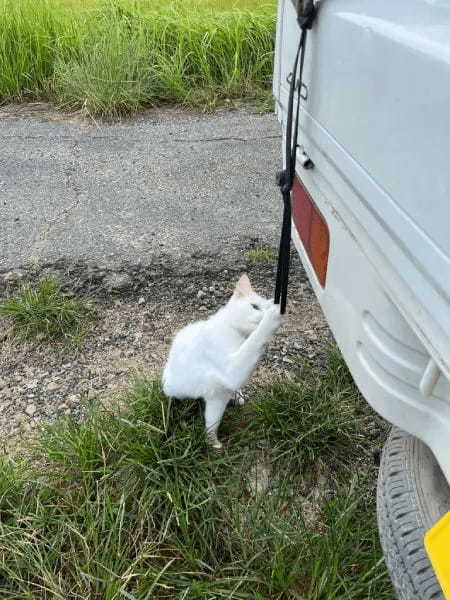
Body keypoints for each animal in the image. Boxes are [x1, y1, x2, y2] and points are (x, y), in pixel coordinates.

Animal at [162, 274, 282, 448]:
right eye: (255, 306)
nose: (265, 313)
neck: (235, 330)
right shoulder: (231, 369)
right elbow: (254, 341)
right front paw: (274, 315)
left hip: (216, 399)